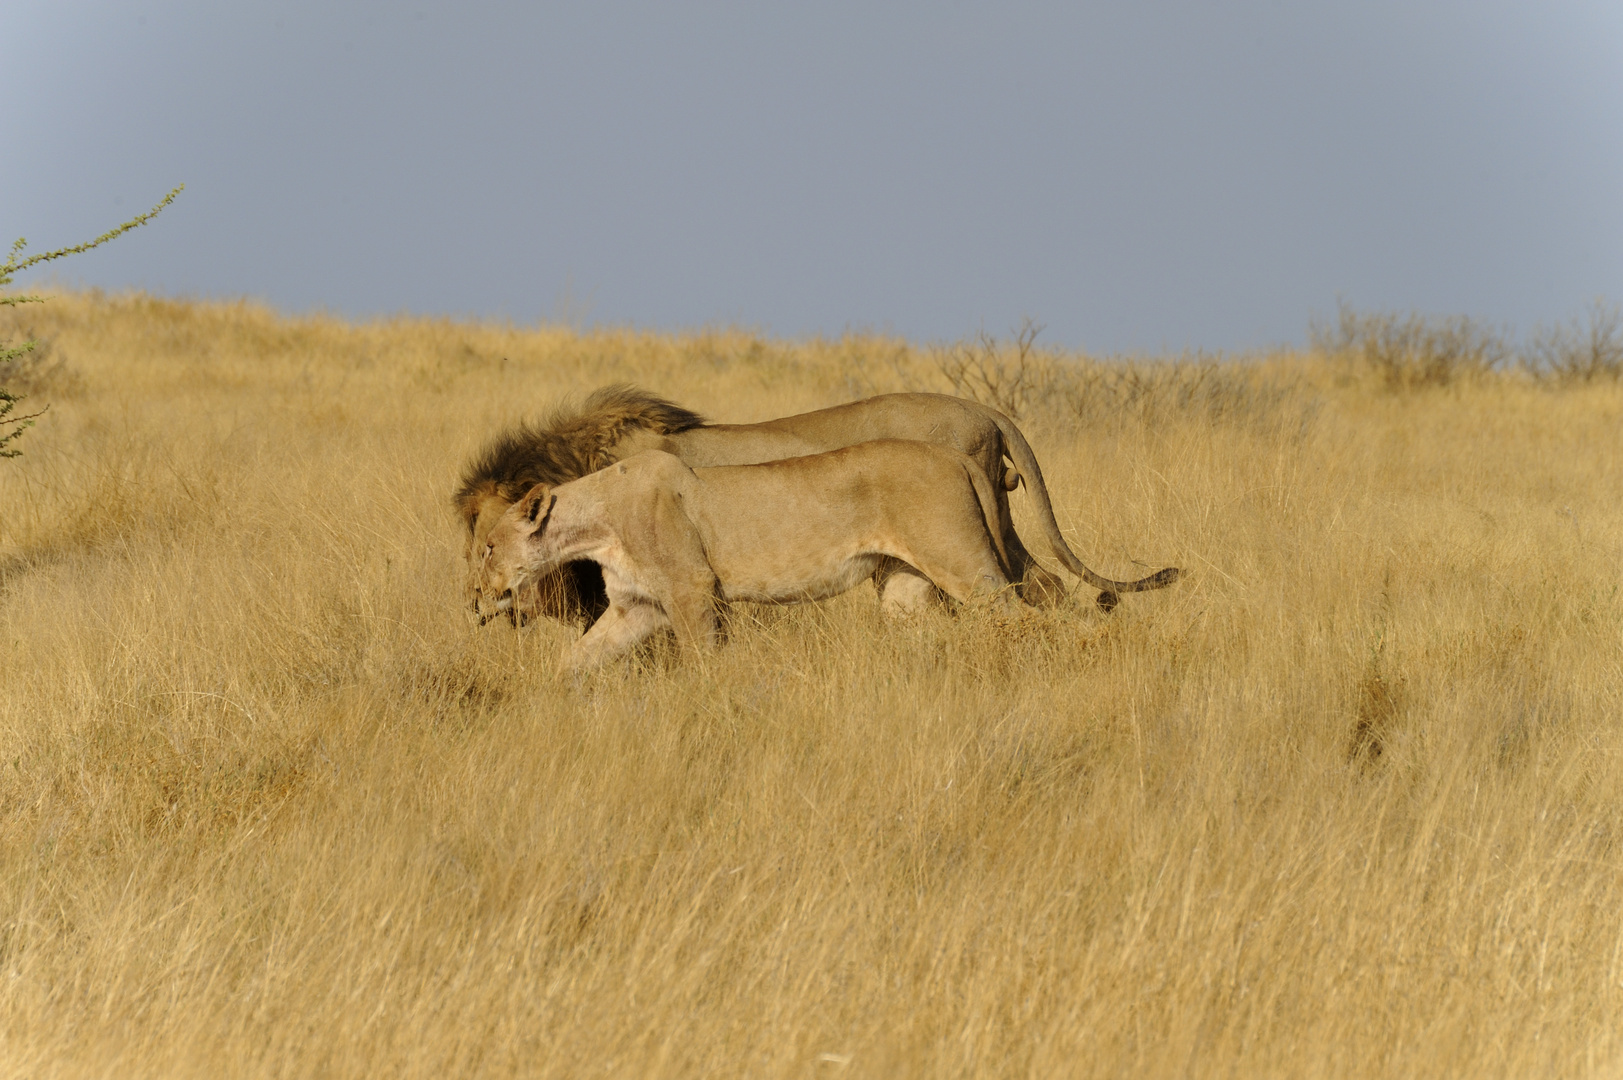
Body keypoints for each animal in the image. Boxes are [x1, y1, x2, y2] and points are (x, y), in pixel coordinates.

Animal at [457, 388, 1181, 623]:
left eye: (483, 544)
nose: (472, 602)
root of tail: (981, 408)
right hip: (995, 531)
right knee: (1047, 586)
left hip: (968, 540)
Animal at [473, 438, 1019, 665]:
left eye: (487, 548)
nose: (474, 600)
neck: (596, 524)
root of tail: (955, 454)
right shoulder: (637, 606)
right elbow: (578, 658)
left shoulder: (692, 589)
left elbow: (703, 659)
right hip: (905, 586)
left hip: (964, 564)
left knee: (1018, 616)